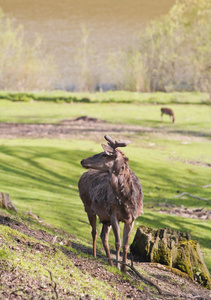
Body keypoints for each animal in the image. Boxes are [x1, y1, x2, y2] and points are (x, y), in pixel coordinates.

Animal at [78, 134, 144, 272]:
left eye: (104, 154)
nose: (83, 160)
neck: (127, 201)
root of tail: (82, 176)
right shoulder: (114, 214)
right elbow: (118, 243)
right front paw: (119, 266)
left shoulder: (132, 219)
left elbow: (125, 244)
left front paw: (124, 269)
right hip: (88, 207)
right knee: (94, 232)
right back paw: (95, 255)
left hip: (105, 218)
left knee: (104, 236)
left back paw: (110, 262)